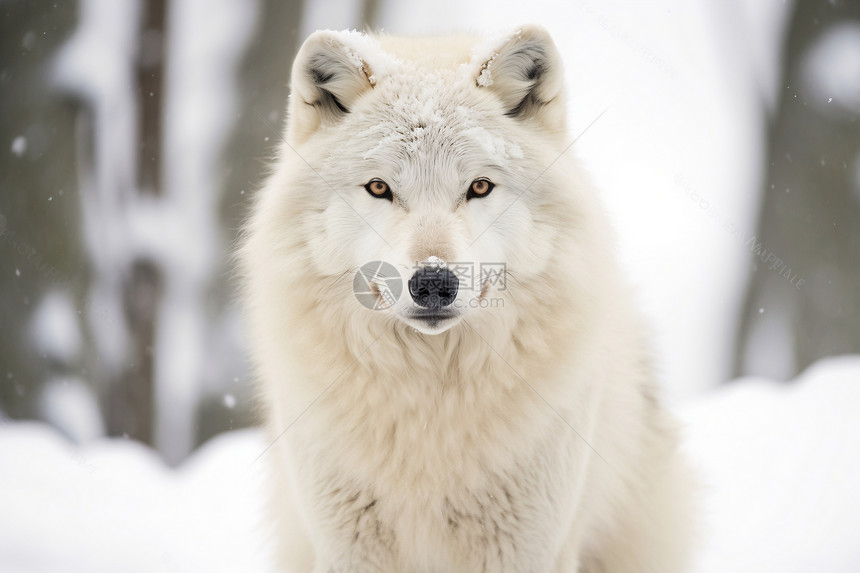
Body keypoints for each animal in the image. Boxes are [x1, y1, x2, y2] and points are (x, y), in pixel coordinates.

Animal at [239, 24, 696, 568]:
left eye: (479, 186)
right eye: (379, 188)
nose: (433, 283)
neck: (431, 401)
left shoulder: (524, 549)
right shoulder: (348, 548)